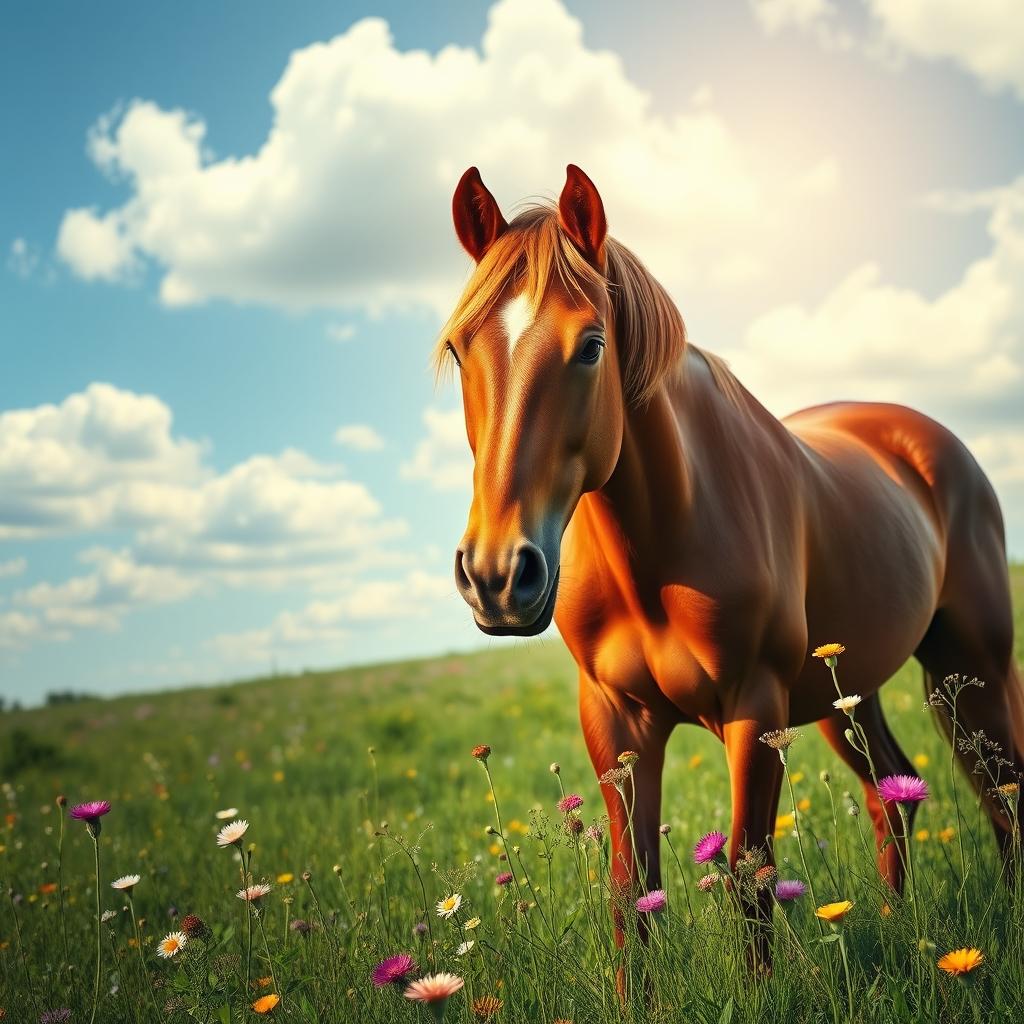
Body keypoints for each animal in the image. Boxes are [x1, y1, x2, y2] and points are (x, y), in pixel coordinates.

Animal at [434, 161, 1024, 950]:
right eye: (460, 348)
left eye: (591, 345)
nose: (498, 575)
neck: (664, 543)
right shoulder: (617, 722)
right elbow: (631, 894)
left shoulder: (755, 708)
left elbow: (750, 882)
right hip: (846, 690)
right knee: (894, 794)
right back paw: (897, 925)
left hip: (970, 667)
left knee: (1004, 794)